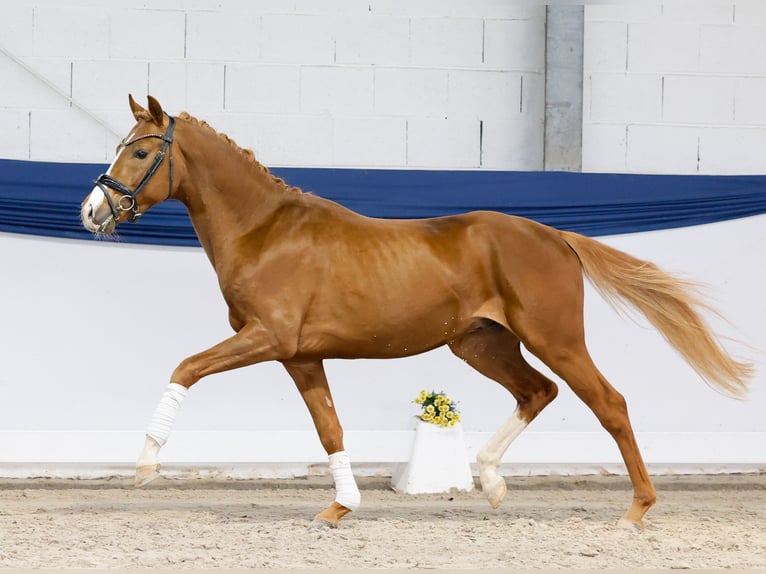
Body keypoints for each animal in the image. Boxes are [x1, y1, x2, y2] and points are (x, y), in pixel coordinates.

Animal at [80, 95, 752, 530]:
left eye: (139, 152)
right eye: (120, 148)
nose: (92, 211)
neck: (265, 230)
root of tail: (556, 236)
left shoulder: (266, 338)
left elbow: (185, 368)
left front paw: (144, 465)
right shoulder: (299, 355)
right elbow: (330, 428)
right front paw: (341, 507)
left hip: (553, 338)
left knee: (607, 403)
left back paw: (637, 509)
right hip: (481, 343)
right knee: (538, 392)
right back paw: (491, 482)